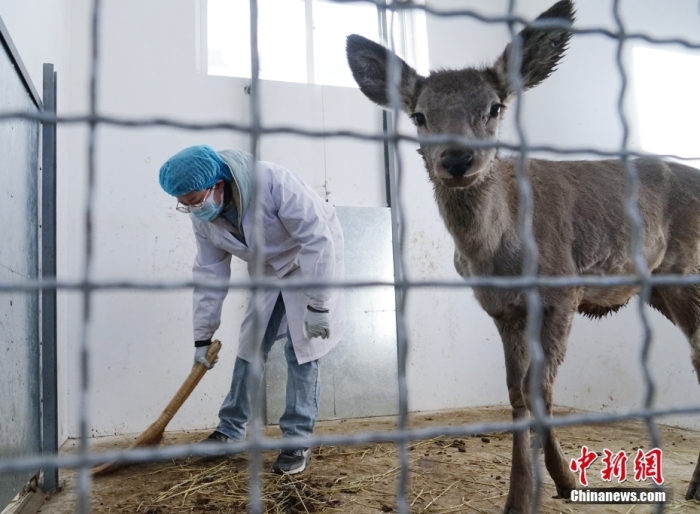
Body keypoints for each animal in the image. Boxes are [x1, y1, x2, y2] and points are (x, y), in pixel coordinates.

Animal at [348, 2, 700, 510]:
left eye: (494, 108)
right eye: (419, 115)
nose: (457, 159)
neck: (498, 257)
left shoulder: (562, 291)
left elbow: (540, 389)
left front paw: (543, 487)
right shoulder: (502, 309)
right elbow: (519, 392)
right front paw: (543, 486)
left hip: (686, 271)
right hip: (659, 287)